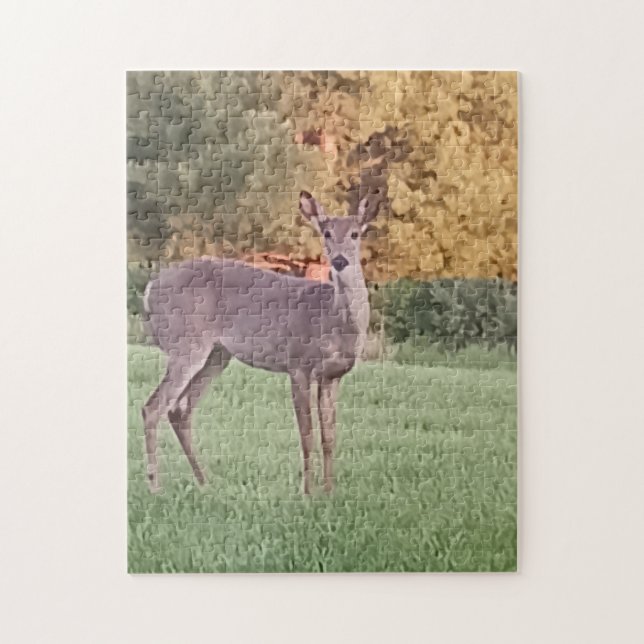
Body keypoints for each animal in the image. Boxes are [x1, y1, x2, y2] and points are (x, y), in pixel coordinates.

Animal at [141, 190, 382, 494]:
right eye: (326, 233)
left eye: (354, 233)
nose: (339, 261)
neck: (332, 318)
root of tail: (150, 289)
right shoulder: (298, 364)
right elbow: (307, 435)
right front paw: (308, 492)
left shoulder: (333, 376)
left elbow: (329, 437)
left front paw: (330, 492)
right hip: (186, 343)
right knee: (152, 407)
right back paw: (155, 486)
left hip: (216, 355)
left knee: (178, 410)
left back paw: (205, 482)